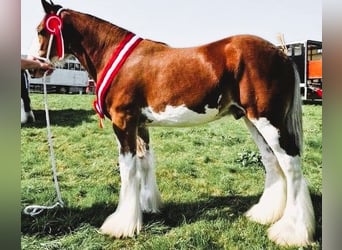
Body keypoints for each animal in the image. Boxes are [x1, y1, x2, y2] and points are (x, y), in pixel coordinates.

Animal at [34, 0, 316, 246]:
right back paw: (264, 215)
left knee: (290, 164)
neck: (117, 58)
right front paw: (148, 207)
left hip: (268, 120)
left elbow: (128, 170)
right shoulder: (141, 125)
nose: (36, 67)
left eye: (41, 30)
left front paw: (121, 224)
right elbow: (145, 163)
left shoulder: (123, 122)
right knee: (271, 161)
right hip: (251, 120)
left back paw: (291, 232)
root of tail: (280, 53)